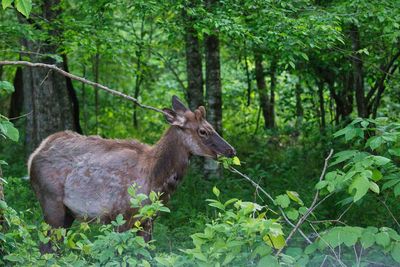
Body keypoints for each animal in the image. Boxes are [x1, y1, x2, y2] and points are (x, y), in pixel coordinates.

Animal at [29, 96, 236, 253]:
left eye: (211, 127)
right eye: (203, 131)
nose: (230, 150)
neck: (157, 179)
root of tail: (33, 155)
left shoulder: (148, 220)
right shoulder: (121, 215)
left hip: (68, 212)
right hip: (51, 202)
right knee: (45, 247)